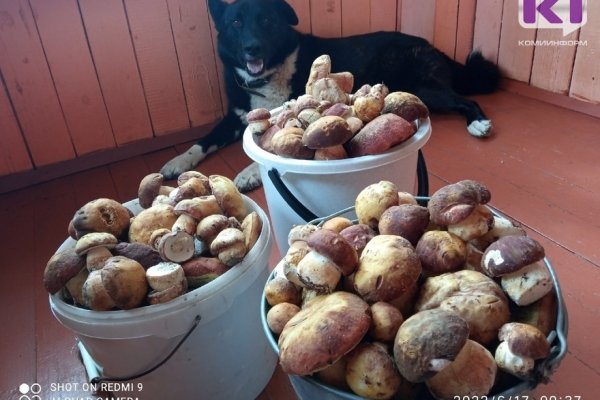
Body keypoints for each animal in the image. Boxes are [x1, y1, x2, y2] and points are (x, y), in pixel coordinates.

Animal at [161, 0, 502, 191]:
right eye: (236, 22)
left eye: (267, 20)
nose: (252, 48)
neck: (269, 75)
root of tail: (432, 46)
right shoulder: (232, 118)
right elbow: (202, 142)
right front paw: (177, 161)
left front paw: (247, 172)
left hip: (423, 89)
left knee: (467, 100)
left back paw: (478, 124)